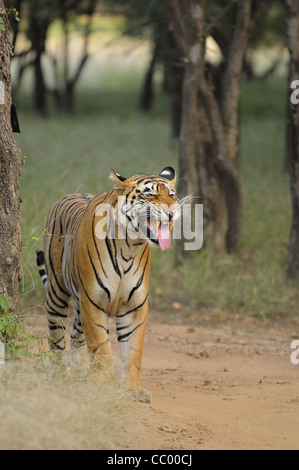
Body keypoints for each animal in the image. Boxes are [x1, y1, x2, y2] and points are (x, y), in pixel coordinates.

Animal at [35, 167, 180, 402]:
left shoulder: (134, 307)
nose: (172, 213)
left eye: (172, 195)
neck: (130, 246)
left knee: (75, 337)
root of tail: (69, 195)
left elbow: (133, 351)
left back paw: (80, 374)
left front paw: (131, 389)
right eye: (149, 194)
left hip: (78, 307)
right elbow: (101, 347)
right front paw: (102, 386)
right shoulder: (93, 302)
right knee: (56, 335)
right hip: (57, 293)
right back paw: (59, 374)